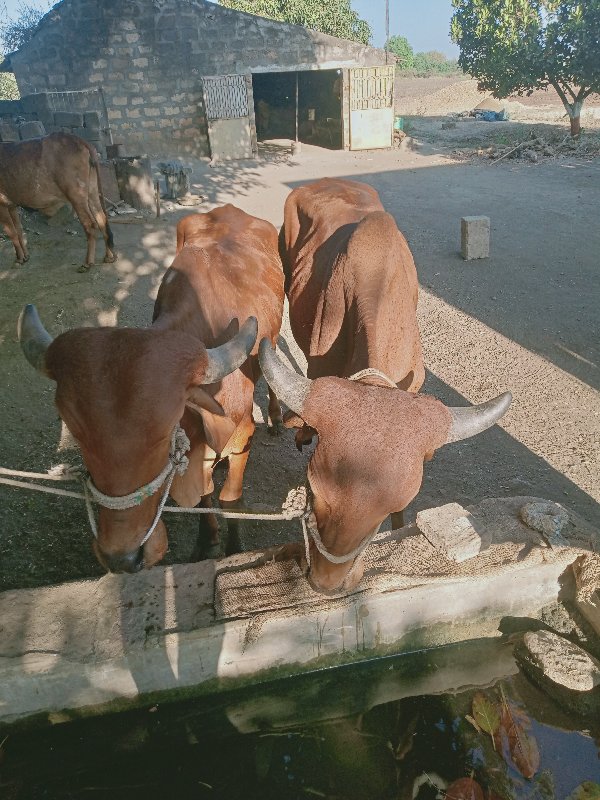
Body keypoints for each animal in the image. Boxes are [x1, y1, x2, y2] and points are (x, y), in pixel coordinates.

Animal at [0, 131, 116, 268]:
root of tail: (78, 139)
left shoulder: (2, 205)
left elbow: (11, 232)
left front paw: (19, 259)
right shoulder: (11, 205)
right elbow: (18, 230)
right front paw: (25, 256)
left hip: (76, 195)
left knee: (90, 224)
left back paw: (88, 263)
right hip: (92, 191)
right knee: (101, 219)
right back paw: (109, 256)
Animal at [19, 203, 284, 572]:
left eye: (163, 433)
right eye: (76, 432)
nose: (122, 557)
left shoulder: (242, 436)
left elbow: (230, 499)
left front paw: (233, 547)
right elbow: (203, 497)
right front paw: (206, 542)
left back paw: (275, 417)